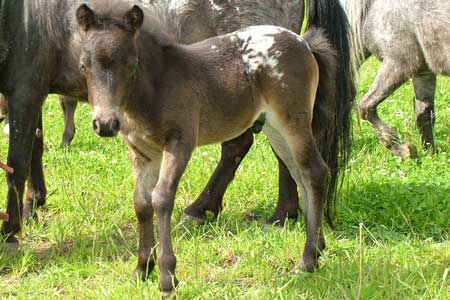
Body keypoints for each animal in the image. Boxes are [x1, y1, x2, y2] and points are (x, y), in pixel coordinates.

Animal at [0, 0, 354, 246]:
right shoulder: (31, 92)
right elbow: (35, 148)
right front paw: (34, 204)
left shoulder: (25, 90)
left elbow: (17, 162)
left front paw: (11, 230)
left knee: (267, 148)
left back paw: (266, 214)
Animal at [74, 1, 340, 294]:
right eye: (84, 66)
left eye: (131, 66)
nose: (105, 124)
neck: (156, 87)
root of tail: (303, 42)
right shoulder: (142, 152)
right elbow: (142, 203)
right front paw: (141, 270)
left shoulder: (180, 143)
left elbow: (162, 198)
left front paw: (167, 278)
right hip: (274, 128)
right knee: (299, 174)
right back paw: (318, 247)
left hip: (293, 121)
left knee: (315, 172)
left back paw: (308, 259)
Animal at [342, 0, 450, 158]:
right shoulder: (422, 72)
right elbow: (424, 114)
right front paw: (430, 154)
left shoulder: (398, 64)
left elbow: (365, 107)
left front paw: (401, 149)